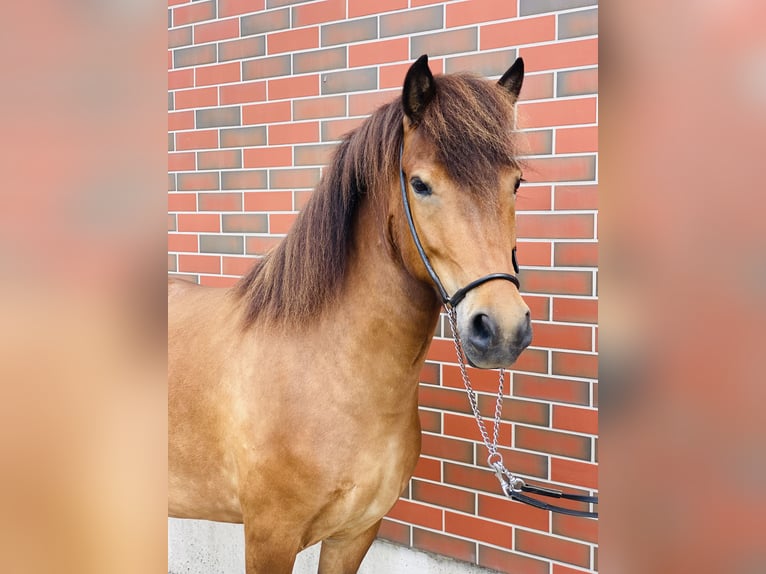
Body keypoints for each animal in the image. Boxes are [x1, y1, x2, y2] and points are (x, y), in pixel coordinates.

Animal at [169, 55, 532, 574]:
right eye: (420, 184)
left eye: (516, 183)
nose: (501, 329)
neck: (327, 371)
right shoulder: (269, 539)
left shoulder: (356, 533)